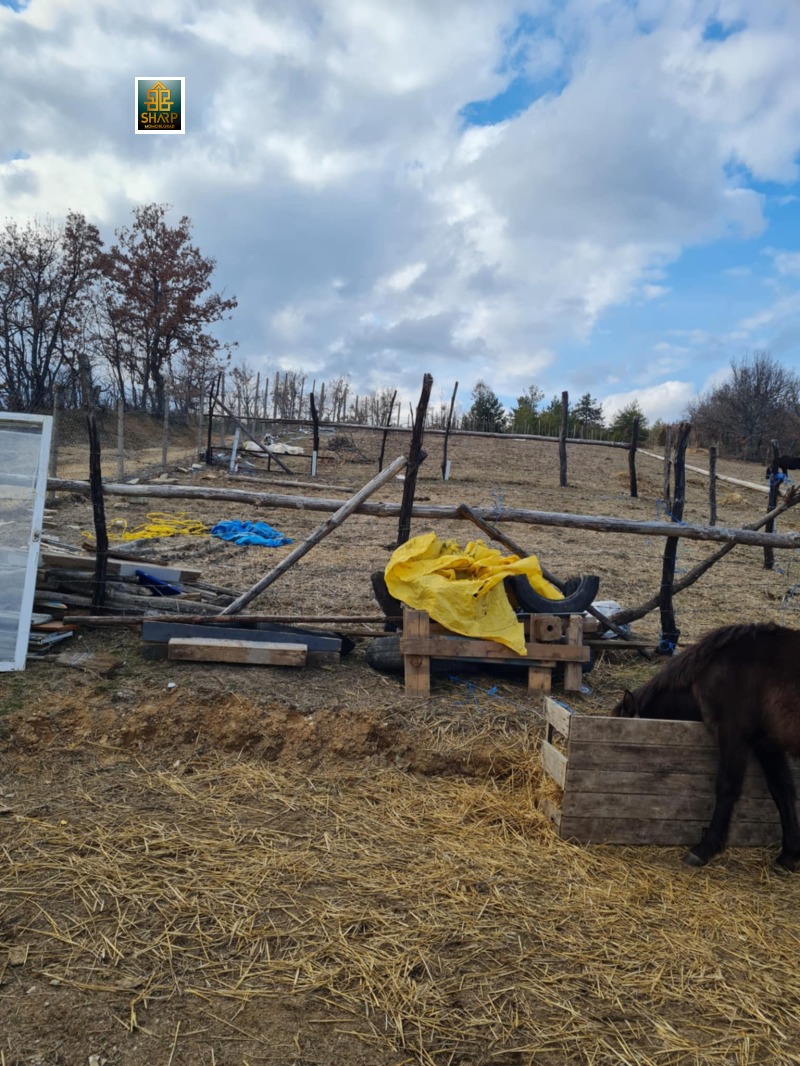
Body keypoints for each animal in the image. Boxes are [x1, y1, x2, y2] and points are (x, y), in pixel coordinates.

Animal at [614, 622, 800, 869]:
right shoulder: (767, 743)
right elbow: (782, 789)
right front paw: (789, 855)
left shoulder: (734, 734)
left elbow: (727, 787)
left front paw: (704, 849)